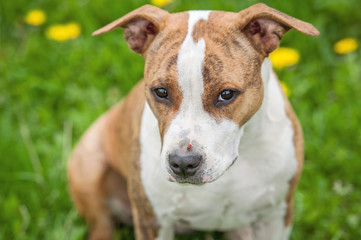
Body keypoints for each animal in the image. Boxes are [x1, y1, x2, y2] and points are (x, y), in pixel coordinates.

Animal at [67, 3, 318, 240]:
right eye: (161, 91)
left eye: (227, 94)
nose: (183, 163)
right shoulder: (153, 220)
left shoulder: (276, 215)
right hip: (89, 167)